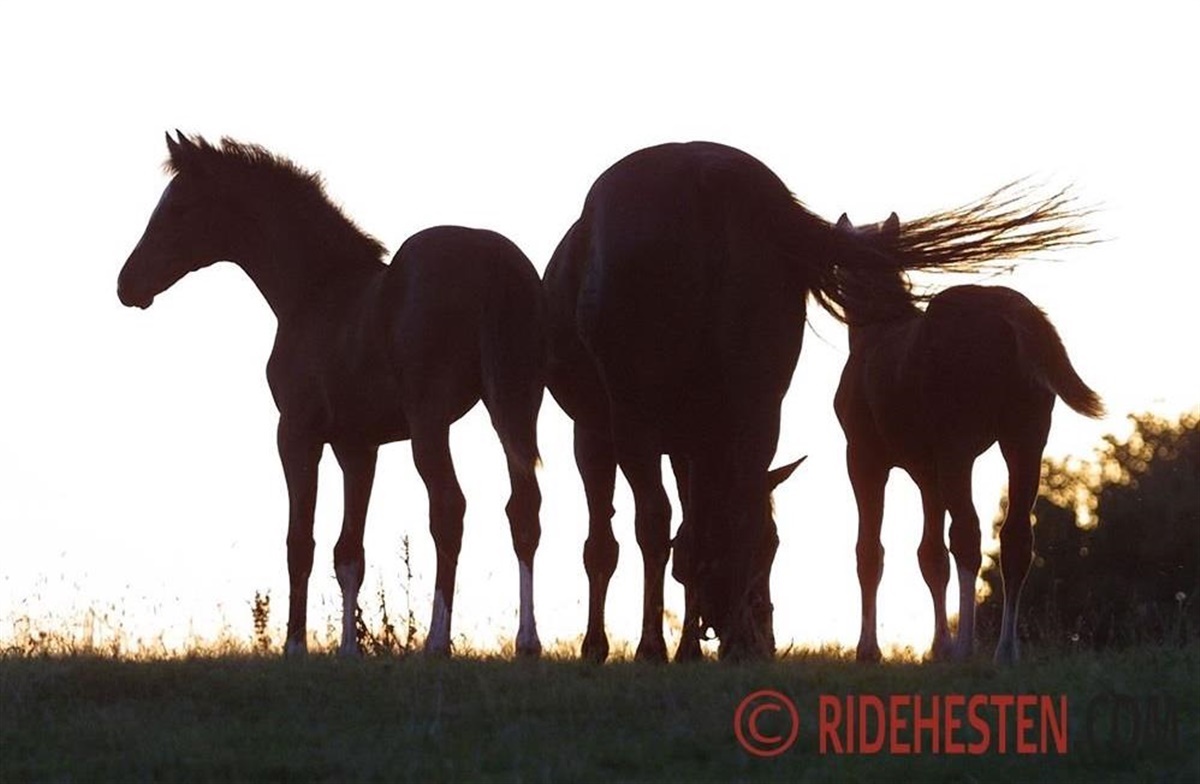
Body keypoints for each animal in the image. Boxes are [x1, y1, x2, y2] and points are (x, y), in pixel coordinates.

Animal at [117, 133, 546, 658]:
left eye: (178, 208)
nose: (127, 284)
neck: (315, 292)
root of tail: (494, 265)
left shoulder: (297, 435)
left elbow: (300, 543)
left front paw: (295, 646)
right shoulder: (357, 447)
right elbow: (349, 552)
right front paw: (347, 651)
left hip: (431, 420)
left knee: (449, 508)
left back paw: (437, 640)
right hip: (518, 408)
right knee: (523, 508)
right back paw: (527, 641)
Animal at [832, 201, 1103, 665]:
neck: (877, 335)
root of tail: (1011, 313)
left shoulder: (865, 459)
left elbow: (870, 552)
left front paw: (869, 649)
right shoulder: (927, 473)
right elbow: (930, 556)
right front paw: (936, 646)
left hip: (959, 452)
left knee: (969, 536)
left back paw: (966, 647)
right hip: (1025, 442)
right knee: (1015, 539)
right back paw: (1004, 651)